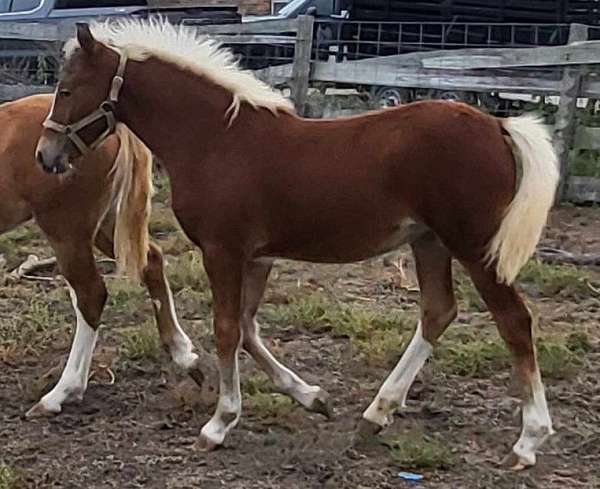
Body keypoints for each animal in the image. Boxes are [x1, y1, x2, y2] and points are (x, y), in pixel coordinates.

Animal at [0, 94, 211, 416]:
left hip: (67, 230)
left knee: (91, 296)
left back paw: (61, 394)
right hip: (104, 225)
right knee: (150, 261)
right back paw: (184, 356)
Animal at [37, 21, 560, 468]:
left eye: (67, 90)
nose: (46, 156)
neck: (216, 139)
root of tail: (500, 127)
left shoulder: (223, 251)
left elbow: (226, 330)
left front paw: (219, 424)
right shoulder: (257, 257)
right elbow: (247, 329)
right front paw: (311, 397)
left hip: (475, 247)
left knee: (514, 322)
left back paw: (528, 441)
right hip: (429, 241)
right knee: (438, 311)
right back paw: (376, 414)